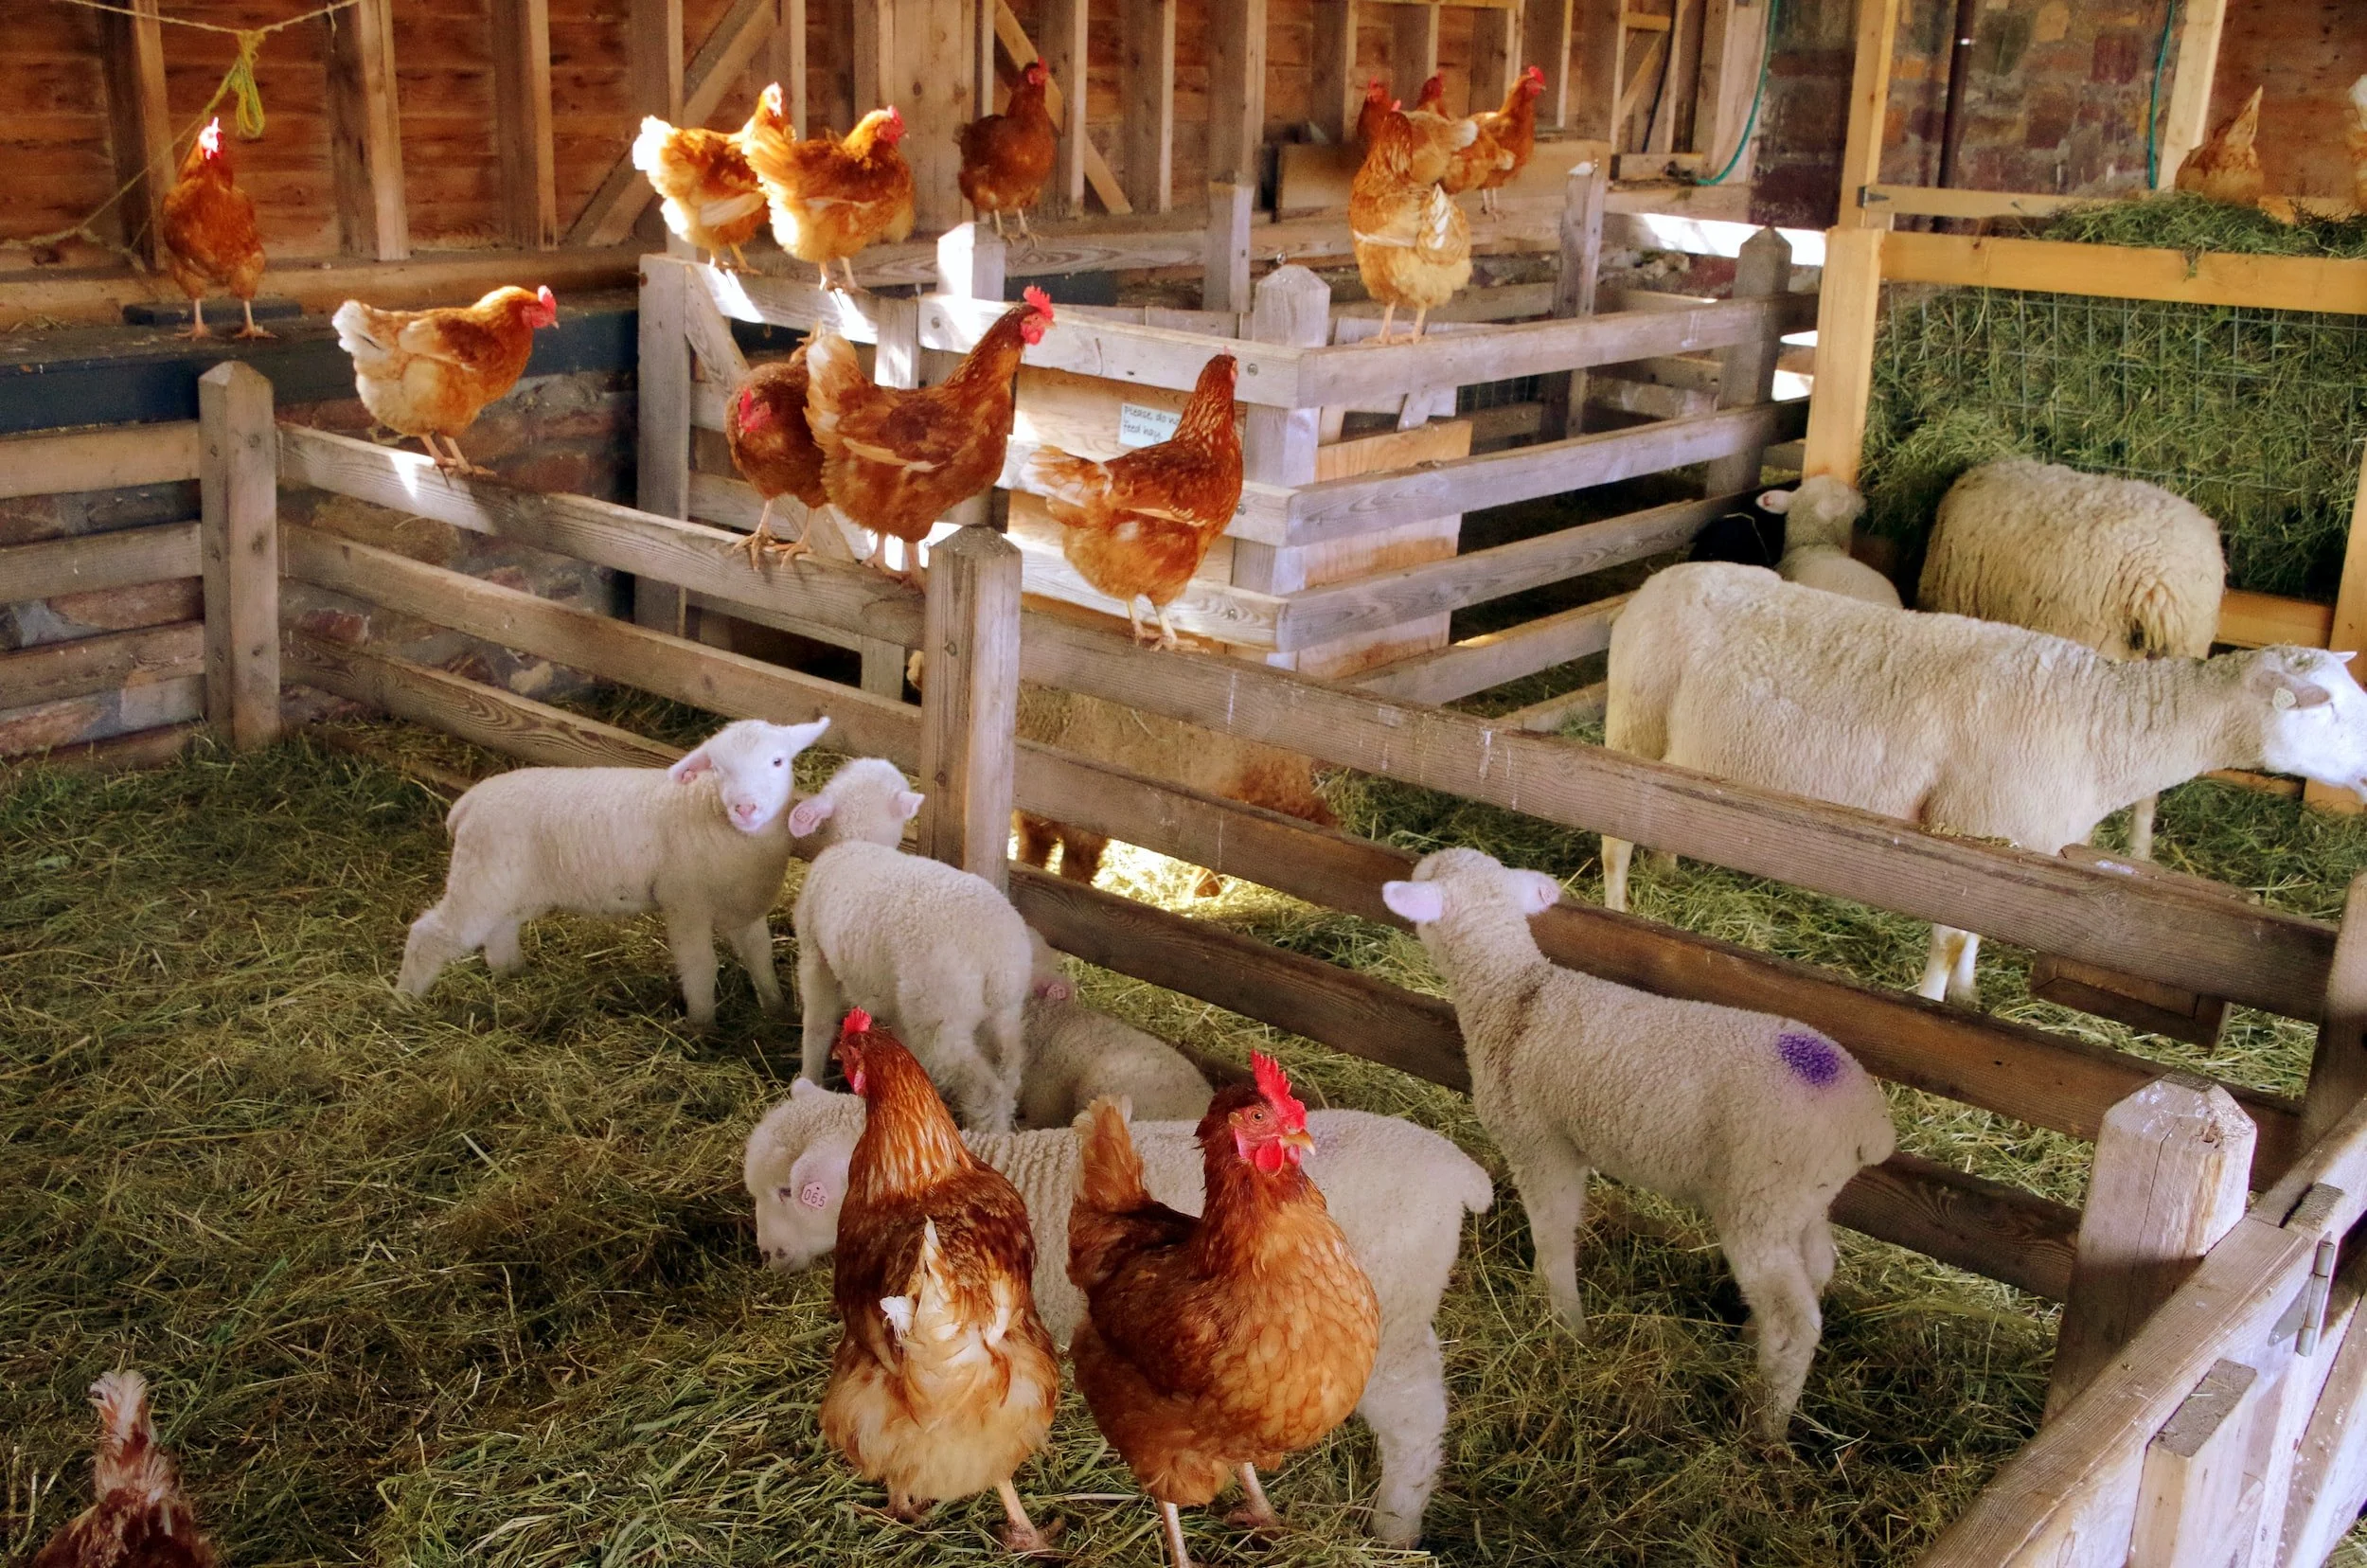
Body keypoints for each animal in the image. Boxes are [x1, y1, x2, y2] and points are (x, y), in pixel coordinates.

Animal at [396, 717, 831, 1026]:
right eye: (718, 769)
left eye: (778, 761)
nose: (745, 807)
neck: (708, 811)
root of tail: (466, 804)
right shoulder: (684, 903)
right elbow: (700, 966)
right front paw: (702, 1027)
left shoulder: (745, 904)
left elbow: (760, 956)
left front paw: (777, 1011)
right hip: (480, 879)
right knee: (430, 934)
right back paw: (404, 1002)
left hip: (510, 887)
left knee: (499, 935)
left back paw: (513, 976)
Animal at [745, 1080, 1493, 1545]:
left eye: (795, 1192)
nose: (765, 1254)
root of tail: (1461, 1172)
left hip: (1390, 1328)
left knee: (1417, 1421)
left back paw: (1394, 1524)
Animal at [793, 827, 1034, 1133]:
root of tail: (995, 954)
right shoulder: (897, 1005)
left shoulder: (814, 955)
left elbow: (817, 1022)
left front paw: (808, 1079)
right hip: (1002, 1014)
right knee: (1010, 1071)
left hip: (940, 1016)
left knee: (985, 1089)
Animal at [1380, 846, 1895, 1440]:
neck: (1517, 996)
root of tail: (1868, 1121)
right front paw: (1544, 1296)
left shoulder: (1541, 1142)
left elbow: (1553, 1233)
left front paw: (1566, 1325)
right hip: (1804, 1199)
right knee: (1817, 1271)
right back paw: (1750, 1337)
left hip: (1760, 1199)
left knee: (1796, 1322)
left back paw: (1764, 1424)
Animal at [1602, 562, 2367, 1006]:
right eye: (2324, 704)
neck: (2106, 726)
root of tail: (1660, 579)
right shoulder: (1970, 829)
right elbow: (1949, 936)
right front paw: (1932, 1006)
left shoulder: (2010, 846)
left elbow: (1980, 931)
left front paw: (1968, 991)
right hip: (1631, 725)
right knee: (1613, 840)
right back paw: (1615, 914)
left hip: (1679, 754)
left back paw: (1668, 869)